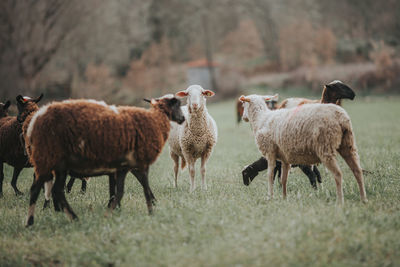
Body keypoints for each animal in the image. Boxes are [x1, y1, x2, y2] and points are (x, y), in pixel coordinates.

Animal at [25, 95, 186, 227]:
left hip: (57, 165)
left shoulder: (122, 167)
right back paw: (36, 221)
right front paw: (150, 211)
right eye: (176, 104)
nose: (183, 119)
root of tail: (35, 121)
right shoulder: (139, 163)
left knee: (55, 190)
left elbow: (117, 191)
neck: (156, 120)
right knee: (38, 190)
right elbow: (141, 188)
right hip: (48, 158)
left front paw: (113, 210)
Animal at [239, 94, 368, 205]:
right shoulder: (285, 159)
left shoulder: (270, 153)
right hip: (348, 144)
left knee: (338, 174)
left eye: (243, 104)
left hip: (325, 147)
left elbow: (270, 176)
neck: (261, 119)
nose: (243, 117)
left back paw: (340, 202)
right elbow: (284, 179)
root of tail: (341, 117)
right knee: (357, 171)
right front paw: (284, 197)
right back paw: (363, 199)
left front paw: (270, 197)